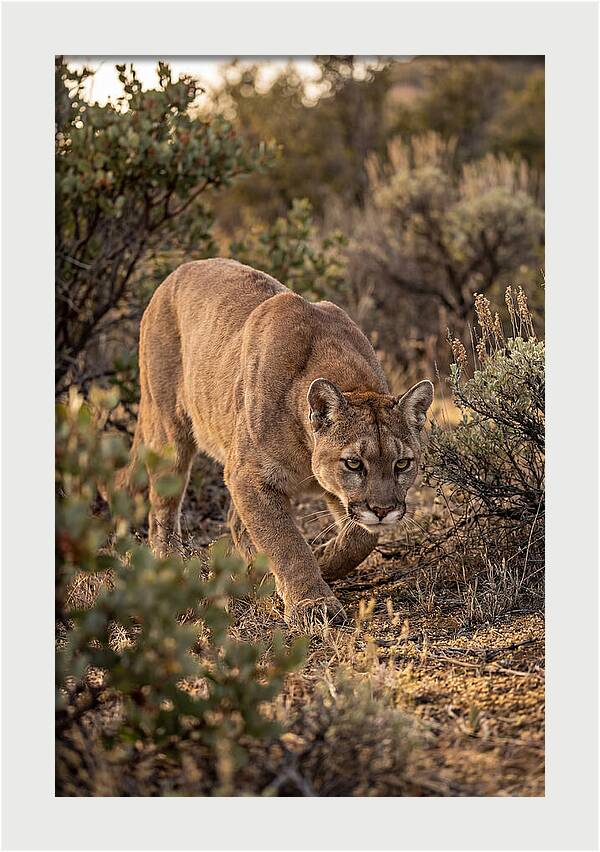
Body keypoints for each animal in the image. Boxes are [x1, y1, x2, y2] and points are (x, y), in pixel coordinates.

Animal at [118, 258, 433, 624]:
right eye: (354, 463)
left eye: (402, 464)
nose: (383, 510)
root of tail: (177, 271)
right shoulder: (250, 476)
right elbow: (285, 541)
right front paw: (313, 604)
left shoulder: (326, 490)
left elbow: (360, 538)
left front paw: (323, 559)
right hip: (170, 430)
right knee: (163, 507)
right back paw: (171, 561)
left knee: (234, 522)